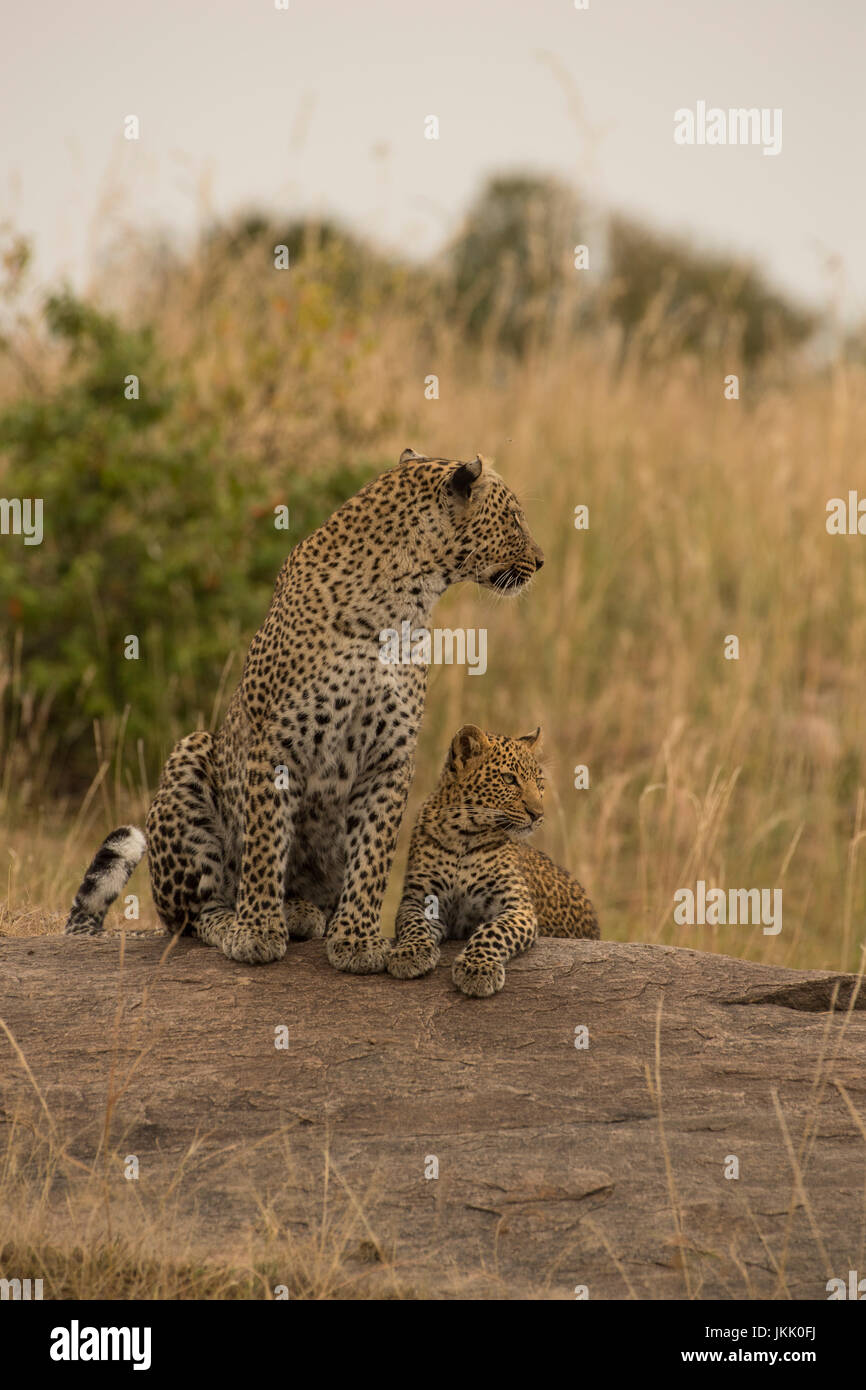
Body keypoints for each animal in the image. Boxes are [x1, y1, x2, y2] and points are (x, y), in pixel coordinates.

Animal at [64, 449, 544, 974]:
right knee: (191, 915)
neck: (405, 601)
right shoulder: (276, 744)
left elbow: (374, 853)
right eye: (514, 517)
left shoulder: (392, 755)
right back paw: (240, 922)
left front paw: (357, 938)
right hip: (191, 756)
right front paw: (257, 931)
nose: (541, 561)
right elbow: (264, 843)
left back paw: (302, 912)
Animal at [388, 723, 599, 996]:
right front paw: (409, 954)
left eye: (539, 782)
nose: (538, 814)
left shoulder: (518, 907)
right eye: (509, 779)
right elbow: (413, 923)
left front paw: (477, 969)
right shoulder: (419, 898)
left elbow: (493, 932)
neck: (463, 835)